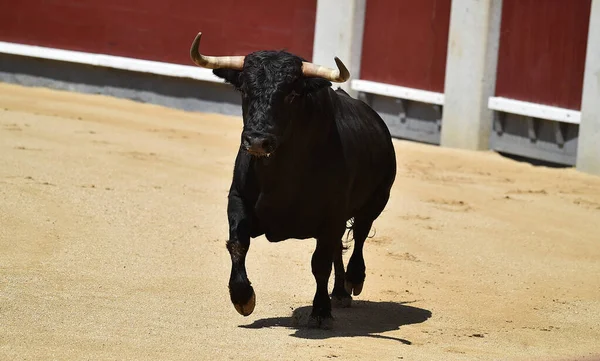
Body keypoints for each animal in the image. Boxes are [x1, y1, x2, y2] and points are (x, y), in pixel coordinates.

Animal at [192, 33, 396, 326]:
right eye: (244, 90)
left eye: (291, 94)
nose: (257, 141)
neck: (280, 173)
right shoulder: (238, 199)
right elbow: (238, 244)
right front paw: (242, 297)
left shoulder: (332, 214)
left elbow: (319, 264)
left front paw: (320, 312)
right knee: (339, 246)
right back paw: (340, 292)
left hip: (376, 201)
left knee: (359, 235)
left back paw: (353, 281)